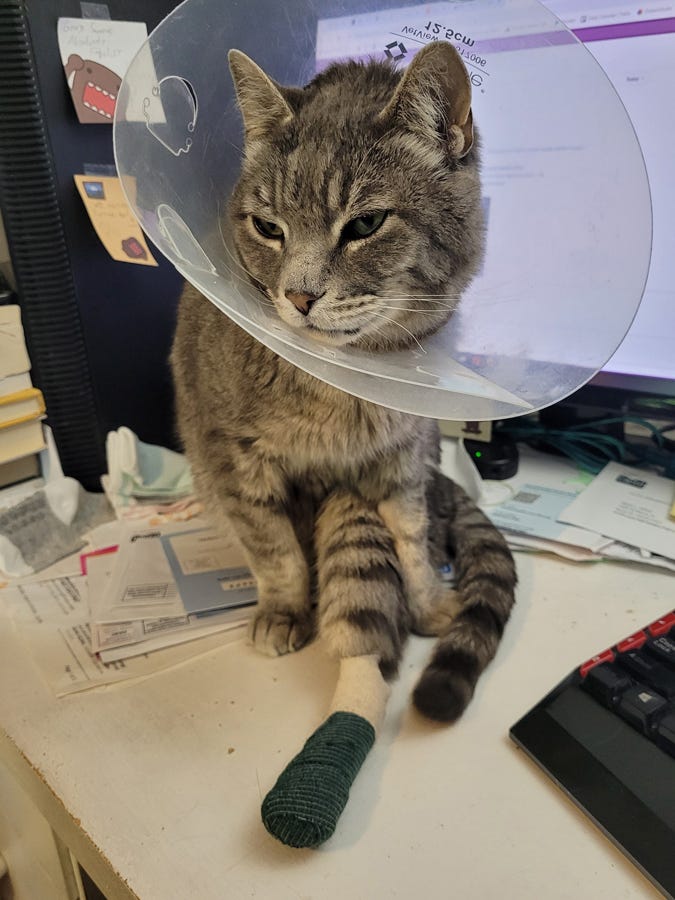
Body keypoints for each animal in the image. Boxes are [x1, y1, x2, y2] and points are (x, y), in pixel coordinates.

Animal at [172, 42, 516, 720]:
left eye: (364, 225)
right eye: (268, 227)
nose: (299, 297)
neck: (338, 386)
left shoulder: (402, 459)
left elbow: (412, 538)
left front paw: (428, 604)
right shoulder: (232, 460)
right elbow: (273, 547)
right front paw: (284, 610)